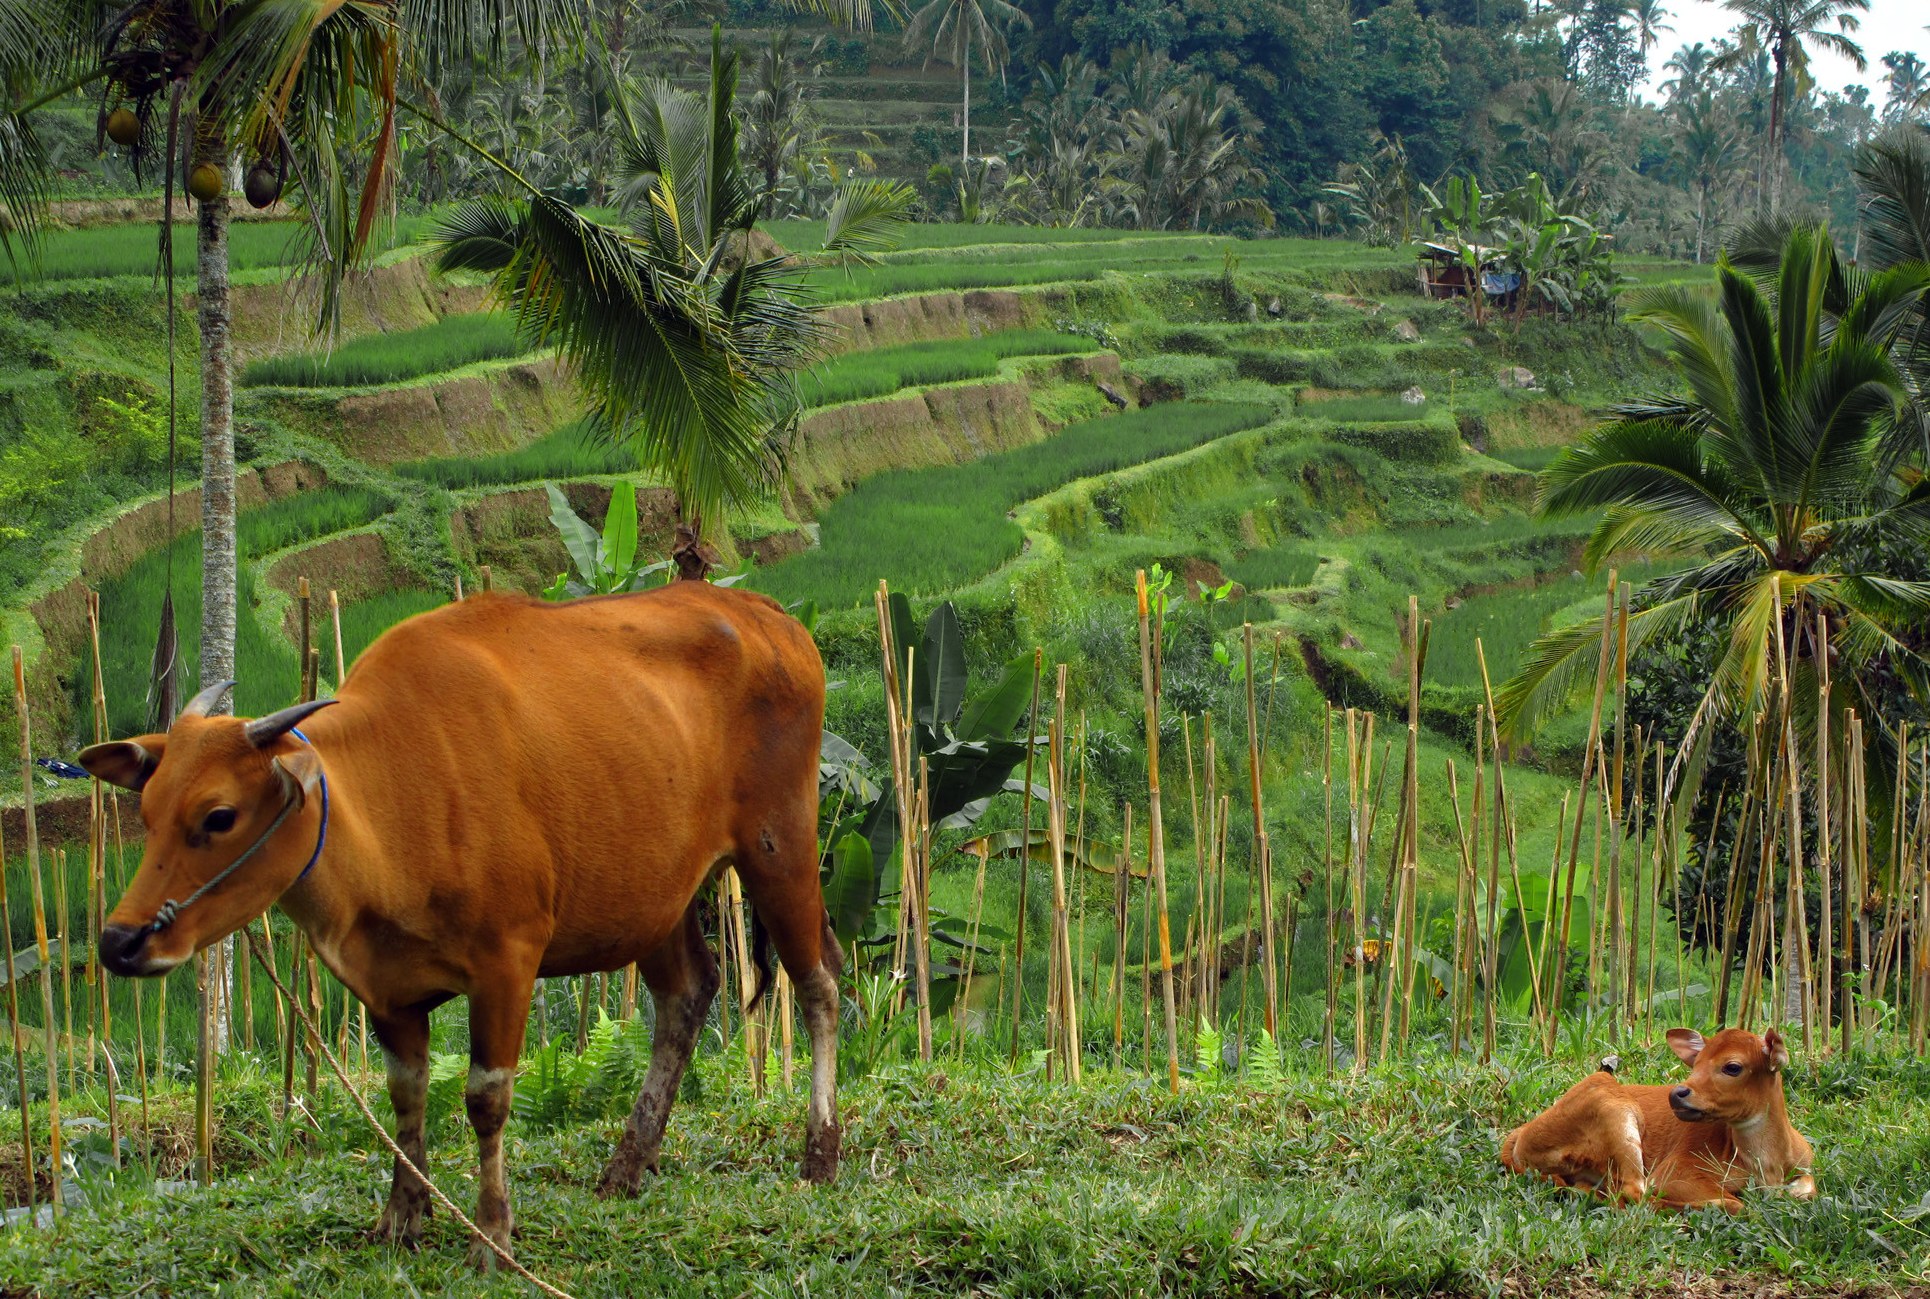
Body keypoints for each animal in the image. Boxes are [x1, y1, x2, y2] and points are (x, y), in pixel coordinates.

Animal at [82, 583, 839, 1268]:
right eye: (145, 811)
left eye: (218, 816)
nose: (120, 941)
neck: (394, 796)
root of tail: (771, 616)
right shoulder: (387, 991)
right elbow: (406, 1096)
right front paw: (401, 1216)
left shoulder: (509, 961)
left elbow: (486, 1098)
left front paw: (493, 1232)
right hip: (657, 896)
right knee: (687, 994)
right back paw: (627, 1164)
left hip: (781, 846)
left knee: (819, 984)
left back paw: (819, 1153)